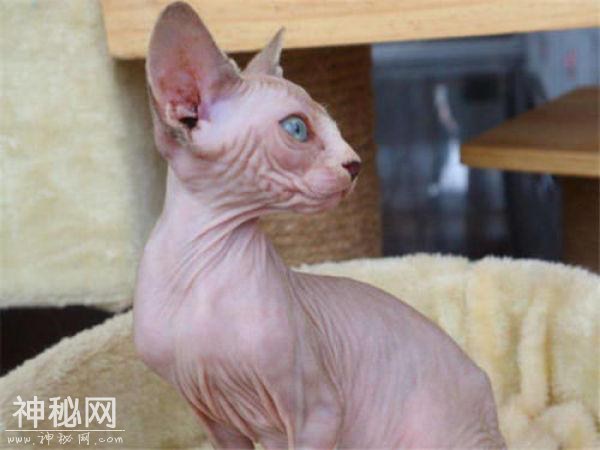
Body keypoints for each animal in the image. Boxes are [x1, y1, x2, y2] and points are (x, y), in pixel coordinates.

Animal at [134, 2, 506, 448]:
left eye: (335, 128)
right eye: (297, 128)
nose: (355, 164)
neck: (200, 269)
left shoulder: (317, 412)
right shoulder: (214, 419)